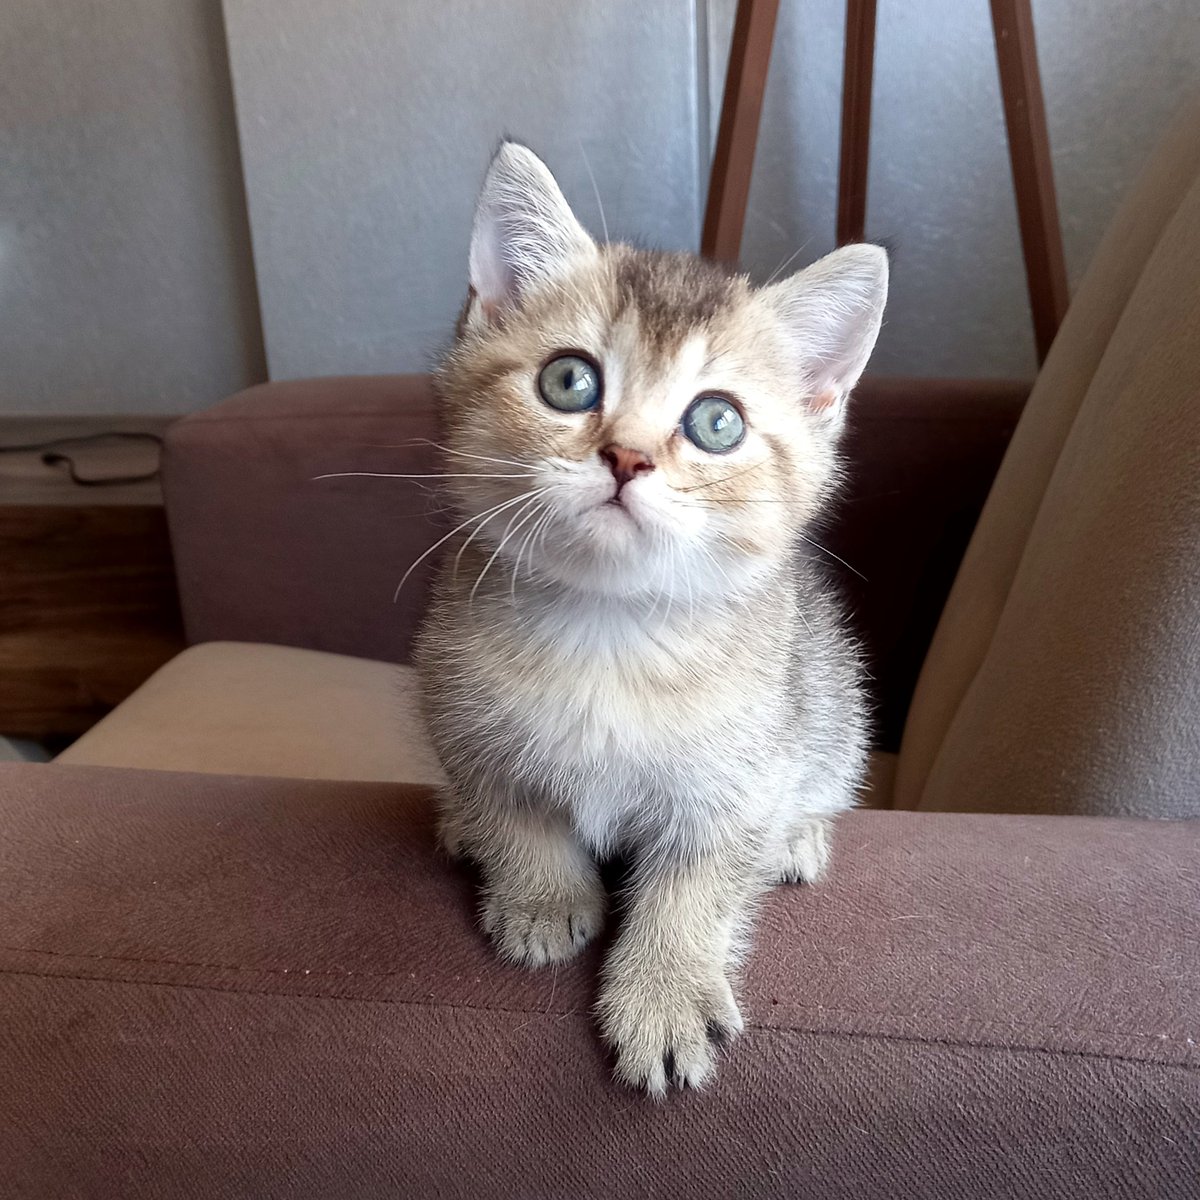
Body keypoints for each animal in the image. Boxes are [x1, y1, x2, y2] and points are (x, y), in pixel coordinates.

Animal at [417, 140, 888, 1099]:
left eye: (717, 421)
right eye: (569, 380)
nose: (627, 456)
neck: (609, 629)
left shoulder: (741, 779)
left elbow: (697, 887)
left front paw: (665, 995)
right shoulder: (460, 715)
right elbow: (515, 812)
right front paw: (542, 900)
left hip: (829, 705)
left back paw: (800, 836)